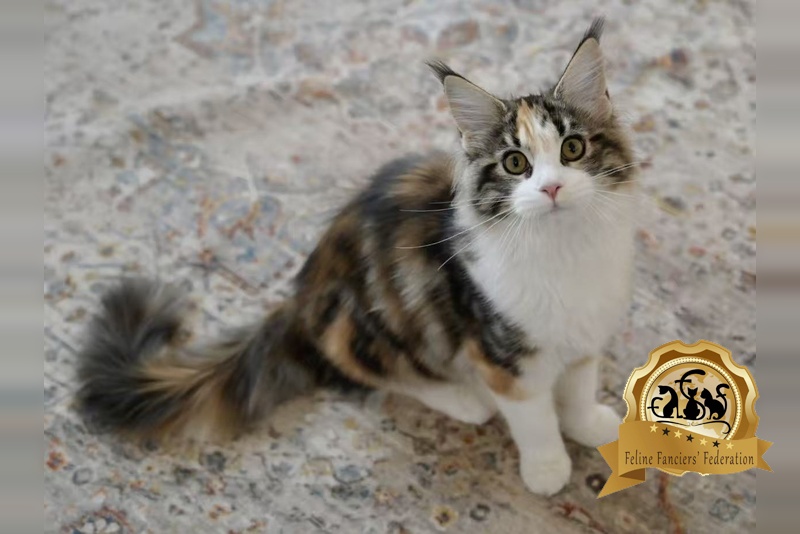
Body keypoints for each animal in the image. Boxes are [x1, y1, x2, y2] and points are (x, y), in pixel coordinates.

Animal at [76, 18, 638, 497]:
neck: (564, 248)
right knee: (376, 374)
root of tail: (300, 295)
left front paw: (591, 426)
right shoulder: (502, 354)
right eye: (515, 163)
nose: (552, 188)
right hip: (363, 329)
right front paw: (547, 469)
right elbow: (535, 417)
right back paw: (464, 399)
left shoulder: (583, 334)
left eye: (572, 150)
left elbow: (577, 388)